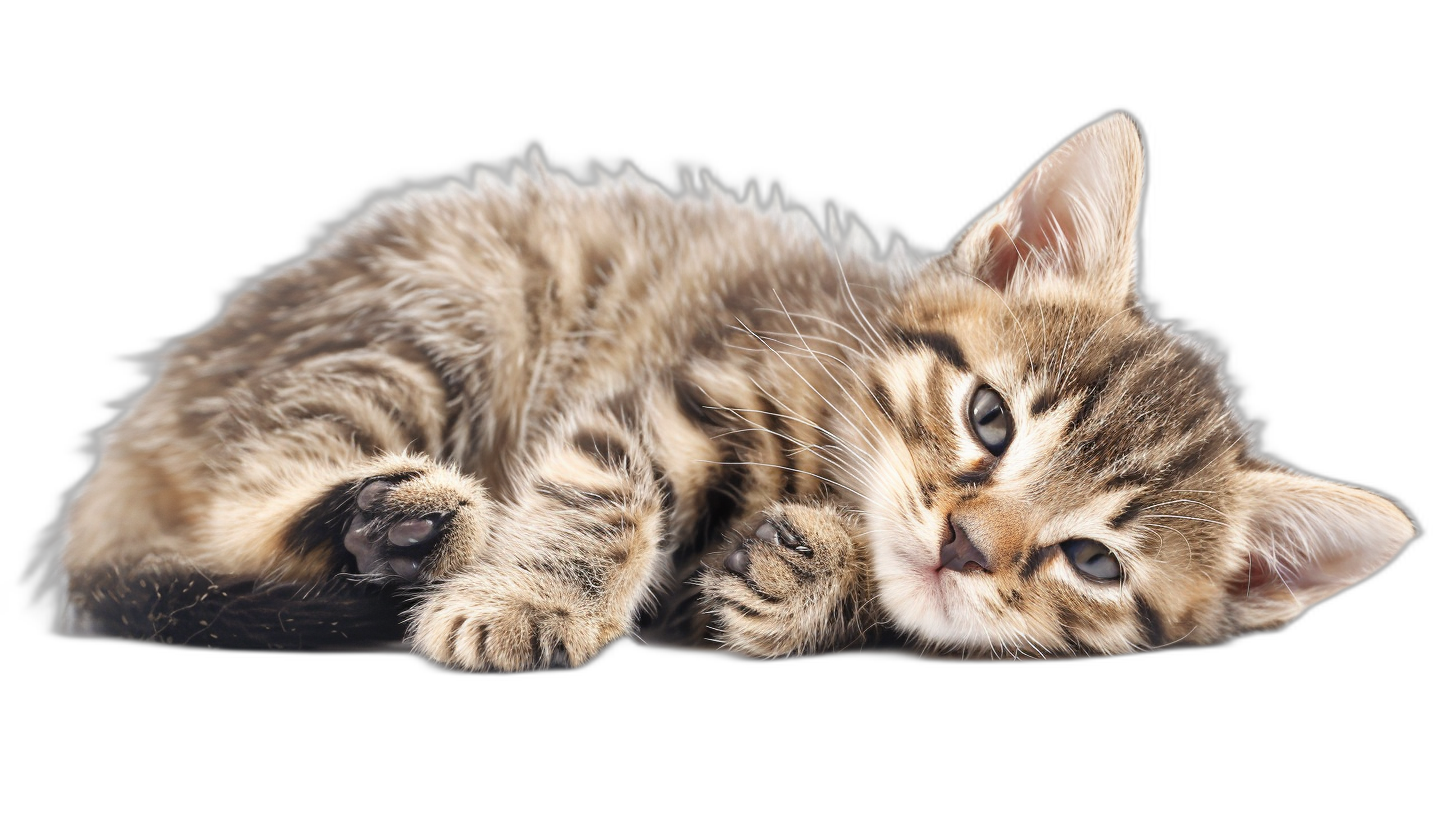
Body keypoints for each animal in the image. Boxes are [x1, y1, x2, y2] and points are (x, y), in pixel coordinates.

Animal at [31, 111, 1421, 673]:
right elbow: (599, 494)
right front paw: (532, 601)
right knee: (248, 497)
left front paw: (803, 577)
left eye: (1091, 561)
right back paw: (400, 527)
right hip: (435, 320)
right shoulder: (669, 397)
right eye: (988, 419)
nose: (967, 545)